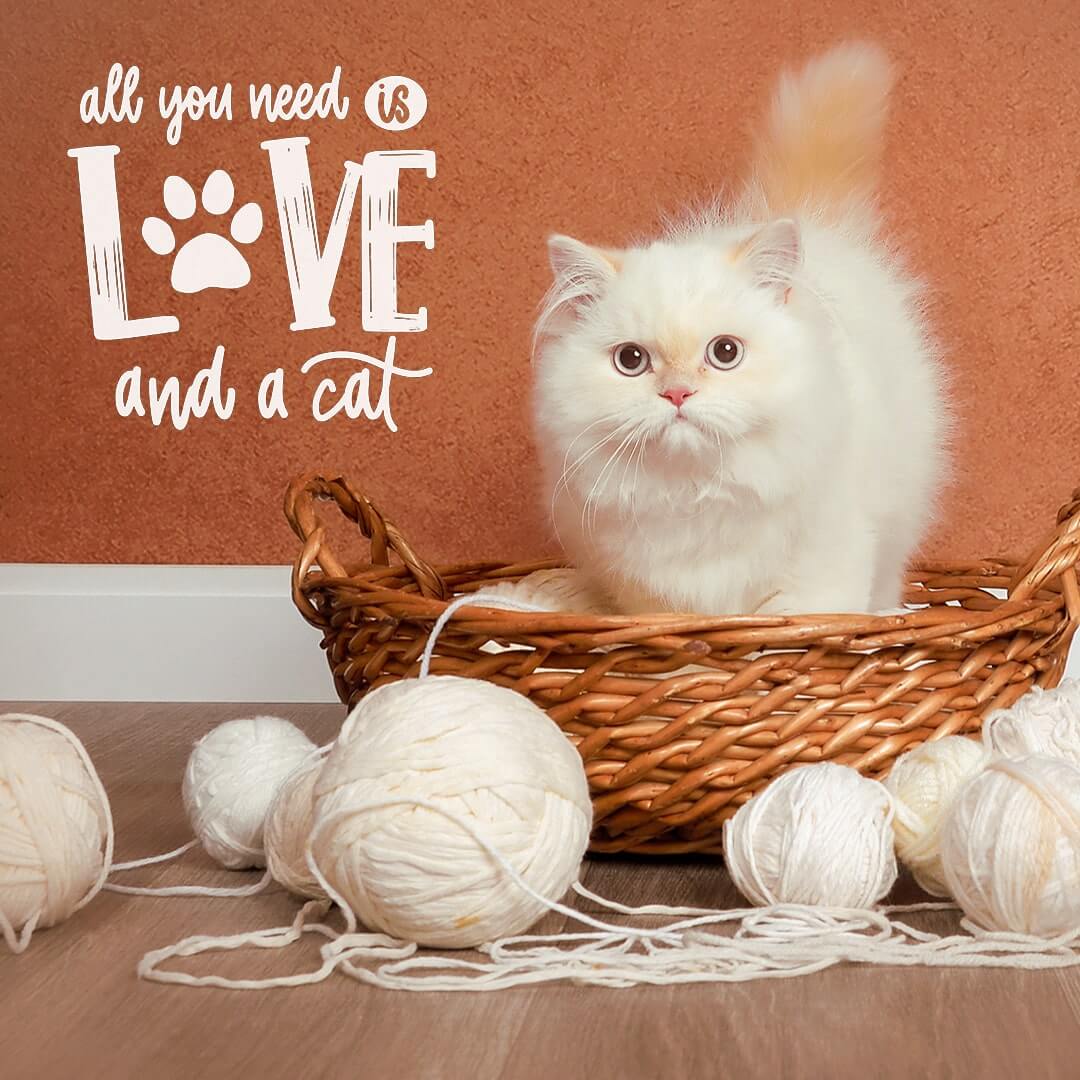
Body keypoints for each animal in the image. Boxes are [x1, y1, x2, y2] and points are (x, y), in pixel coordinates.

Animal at [535, 42, 950, 617]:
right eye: (631, 361)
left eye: (725, 352)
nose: (677, 394)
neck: (699, 494)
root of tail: (810, 220)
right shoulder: (641, 587)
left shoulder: (823, 567)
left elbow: (802, 619)